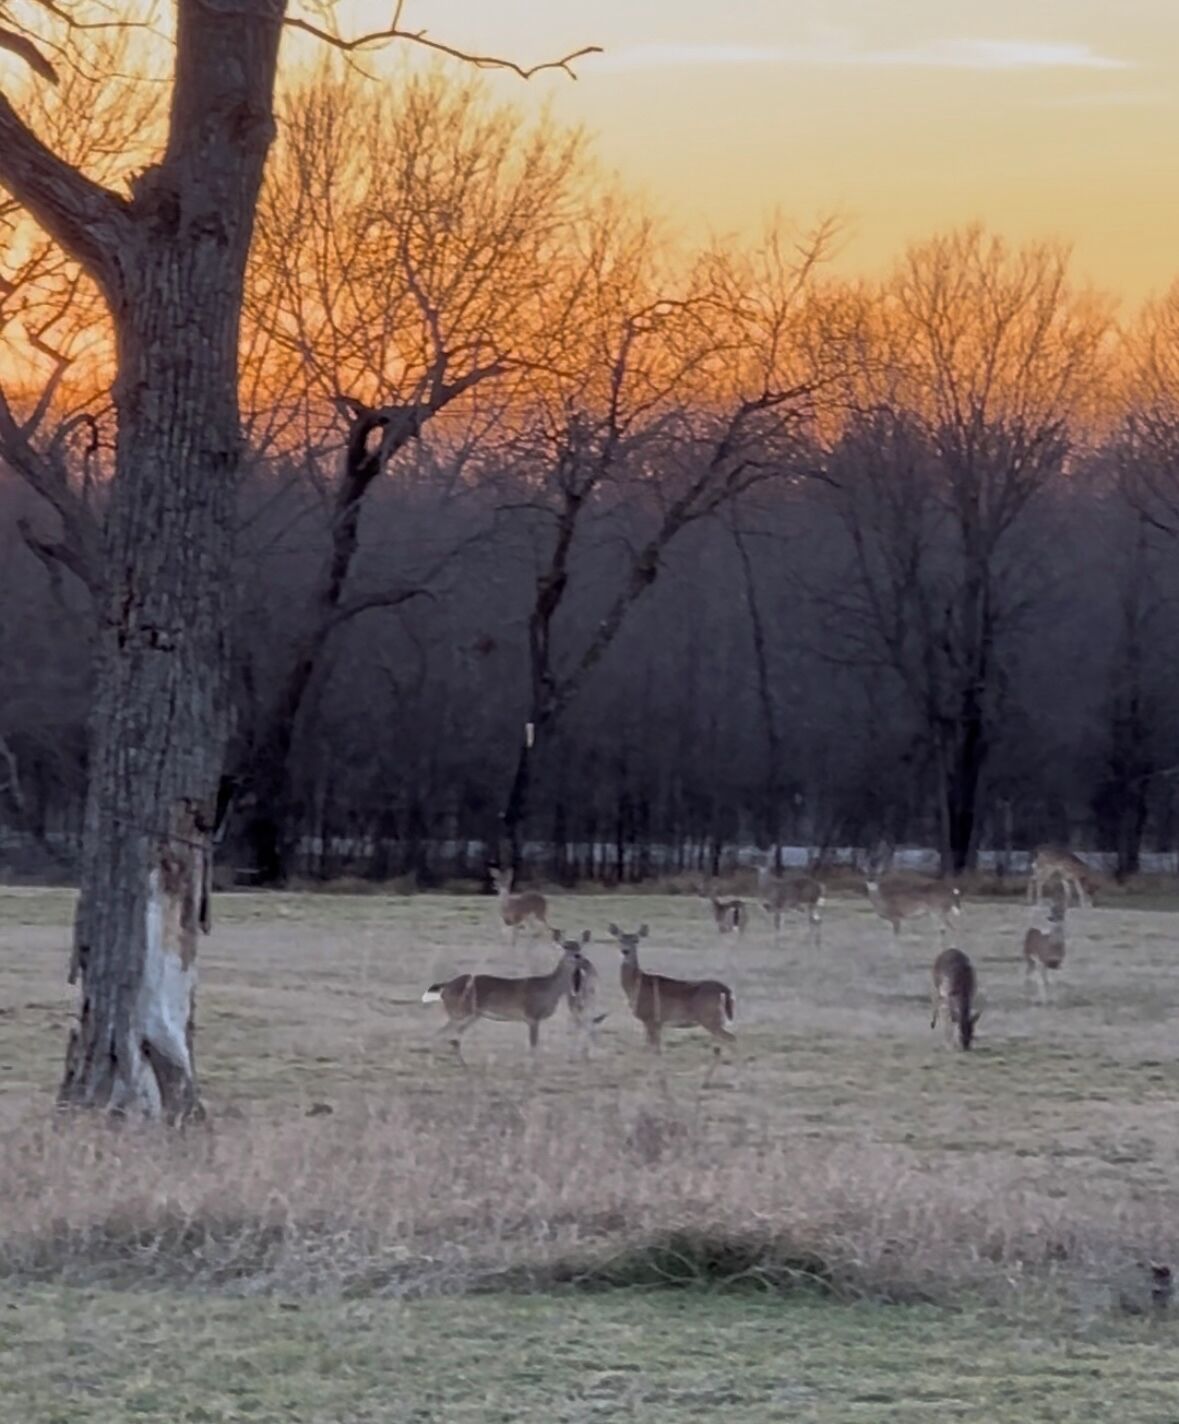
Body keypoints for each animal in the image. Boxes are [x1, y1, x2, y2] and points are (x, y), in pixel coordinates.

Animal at [420, 930, 592, 1065]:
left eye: (579, 947)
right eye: (564, 947)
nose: (577, 957)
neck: (551, 989)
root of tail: (445, 987)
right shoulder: (532, 1015)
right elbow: (533, 1046)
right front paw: (531, 1070)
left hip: (472, 1014)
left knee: (454, 1037)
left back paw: (464, 1064)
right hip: (460, 1012)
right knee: (440, 1034)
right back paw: (433, 1064)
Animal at [606, 923, 735, 1073]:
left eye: (636, 940)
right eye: (620, 939)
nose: (625, 951)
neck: (636, 985)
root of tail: (723, 988)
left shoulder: (651, 1018)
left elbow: (653, 1049)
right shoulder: (654, 1022)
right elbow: (651, 1047)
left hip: (709, 1017)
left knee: (731, 1038)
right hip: (715, 1018)